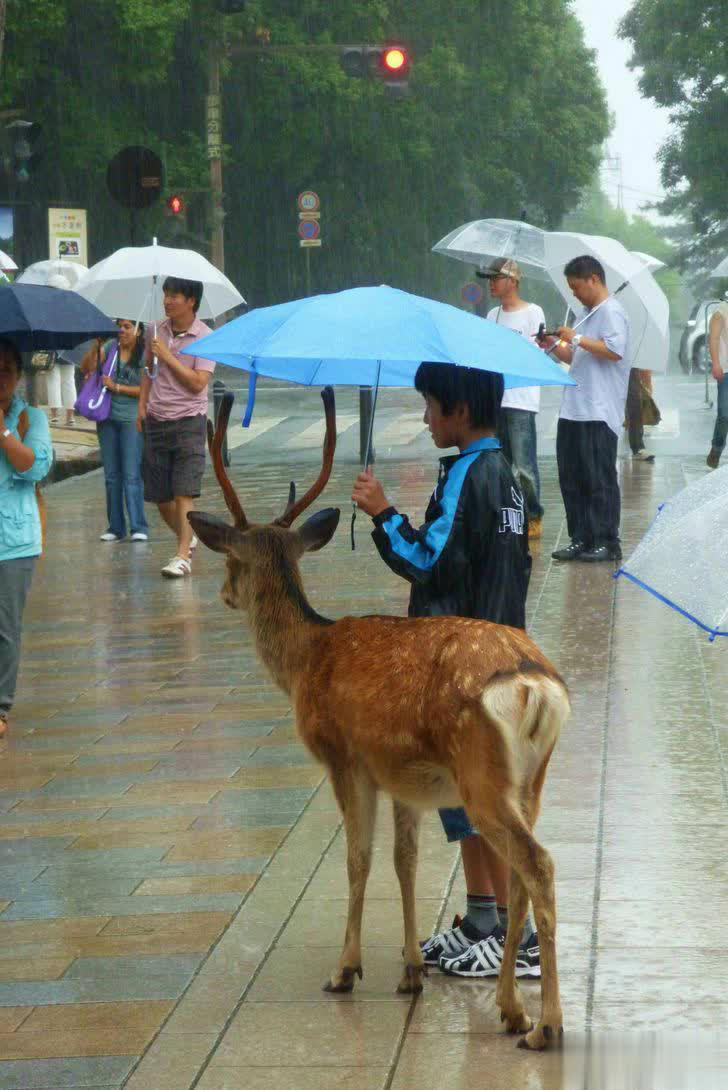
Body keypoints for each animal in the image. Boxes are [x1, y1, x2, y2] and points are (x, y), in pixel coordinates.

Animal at [189, 385, 575, 1046]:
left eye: (230, 562)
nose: (224, 594)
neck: (306, 659)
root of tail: (535, 683)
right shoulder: (404, 776)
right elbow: (405, 862)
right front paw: (411, 970)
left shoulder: (345, 757)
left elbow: (359, 859)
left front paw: (346, 969)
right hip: (532, 778)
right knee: (520, 876)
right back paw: (509, 1008)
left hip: (482, 775)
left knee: (538, 865)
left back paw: (543, 1024)